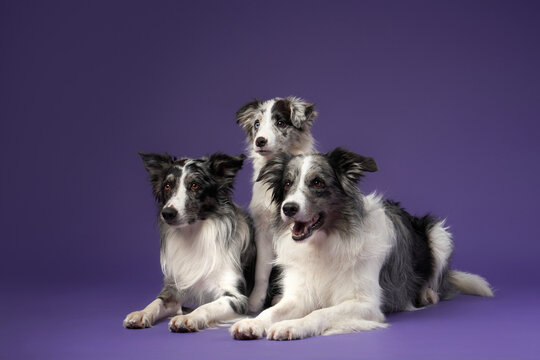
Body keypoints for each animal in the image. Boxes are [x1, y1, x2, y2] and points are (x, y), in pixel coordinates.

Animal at [123, 151, 256, 332]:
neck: (193, 235)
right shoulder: (174, 288)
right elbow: (156, 302)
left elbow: (206, 307)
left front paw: (188, 317)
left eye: (195, 185)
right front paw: (141, 313)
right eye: (167, 186)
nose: (167, 213)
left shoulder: (237, 297)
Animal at [230, 147, 492, 340]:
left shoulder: (365, 304)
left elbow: (320, 313)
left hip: (439, 234)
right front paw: (253, 323)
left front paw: (292, 326)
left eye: (317, 183)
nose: (289, 208)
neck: (325, 242)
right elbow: (272, 311)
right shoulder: (298, 295)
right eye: (286, 184)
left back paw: (427, 294)